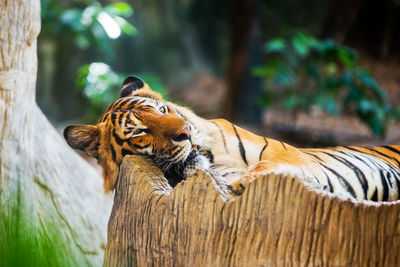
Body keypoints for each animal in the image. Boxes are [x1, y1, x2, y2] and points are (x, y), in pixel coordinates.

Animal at [62, 76, 400, 202]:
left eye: (162, 109)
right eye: (141, 131)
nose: (185, 133)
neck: (213, 157)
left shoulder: (289, 153)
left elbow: (269, 164)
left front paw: (246, 181)